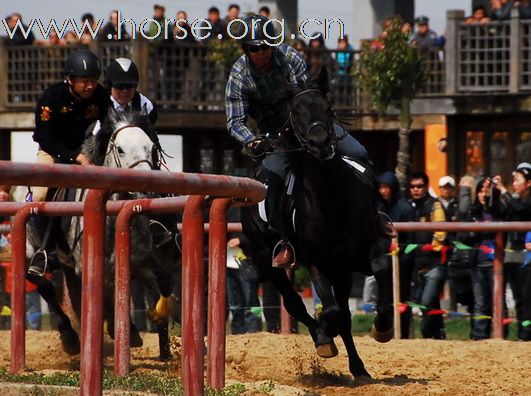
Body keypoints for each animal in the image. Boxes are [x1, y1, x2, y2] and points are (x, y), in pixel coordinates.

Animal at [241, 69, 394, 380]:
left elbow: (380, 283)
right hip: (268, 260)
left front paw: (382, 329)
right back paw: (323, 339)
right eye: (295, 112)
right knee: (295, 304)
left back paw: (358, 367)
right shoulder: (316, 264)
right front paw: (324, 332)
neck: (333, 201)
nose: (320, 142)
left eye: (328, 107)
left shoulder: (368, 250)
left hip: (342, 271)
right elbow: (331, 312)